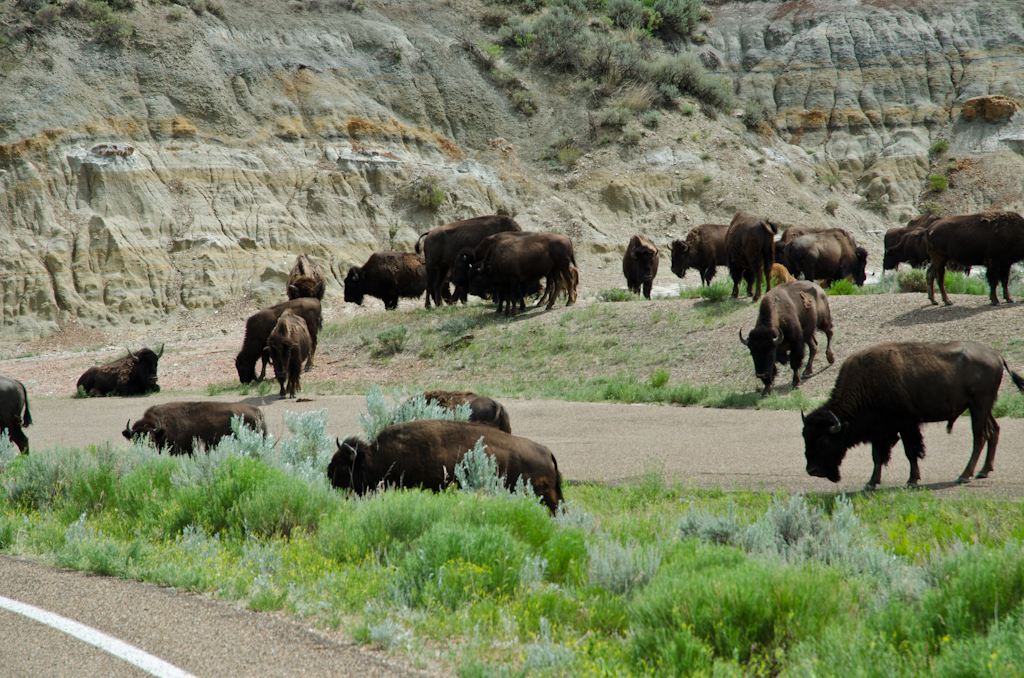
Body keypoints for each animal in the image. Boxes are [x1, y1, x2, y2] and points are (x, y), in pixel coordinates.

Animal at [798, 342, 1024, 491]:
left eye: (824, 441)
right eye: (805, 438)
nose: (812, 470)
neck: (866, 384)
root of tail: (996, 355)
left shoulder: (906, 425)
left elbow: (910, 451)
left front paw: (912, 480)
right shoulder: (879, 430)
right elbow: (877, 456)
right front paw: (870, 483)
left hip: (979, 405)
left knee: (979, 436)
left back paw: (964, 475)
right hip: (984, 407)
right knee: (994, 430)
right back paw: (984, 471)